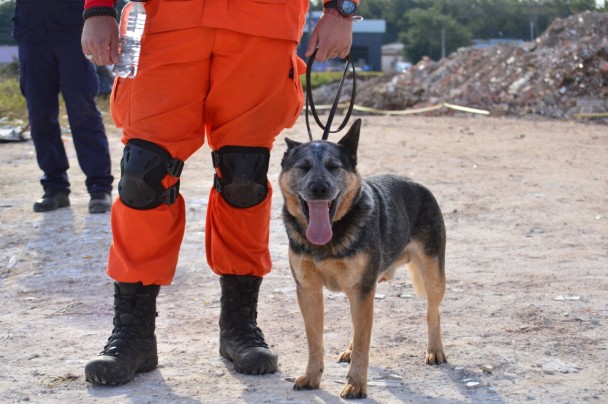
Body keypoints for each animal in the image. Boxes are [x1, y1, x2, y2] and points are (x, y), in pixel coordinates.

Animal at [280, 118, 446, 400]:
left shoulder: (361, 289)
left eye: (334, 167)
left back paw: (435, 350)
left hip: (433, 276)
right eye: (303, 167)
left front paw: (357, 384)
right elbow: (315, 341)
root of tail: (416, 183)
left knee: (432, 312)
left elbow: (362, 344)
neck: (331, 237)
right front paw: (312, 376)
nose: (319, 188)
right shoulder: (309, 291)